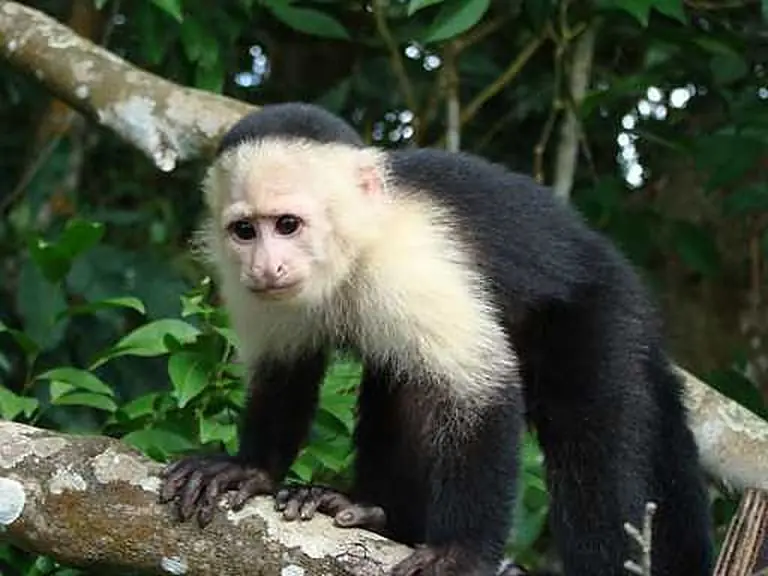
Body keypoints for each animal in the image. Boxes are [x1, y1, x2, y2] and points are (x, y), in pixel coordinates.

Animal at [159, 102, 713, 576]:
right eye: (245, 231)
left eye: (288, 225)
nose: (266, 267)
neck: (353, 251)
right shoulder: (249, 287)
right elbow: (285, 369)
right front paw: (249, 469)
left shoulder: (408, 261)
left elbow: (483, 388)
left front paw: (462, 552)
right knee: (403, 388)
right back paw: (379, 515)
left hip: (597, 309)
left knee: (589, 437)